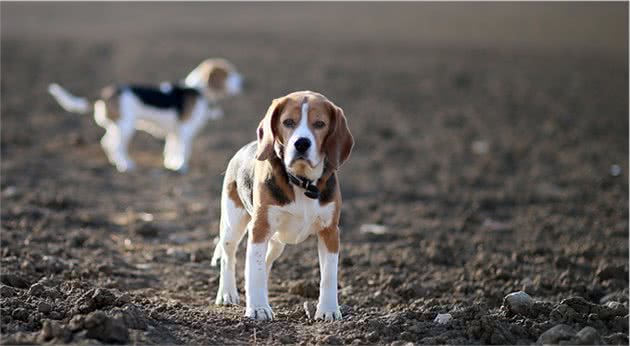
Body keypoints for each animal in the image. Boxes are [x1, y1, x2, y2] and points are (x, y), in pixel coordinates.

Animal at [47, 59, 243, 174]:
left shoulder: (174, 133)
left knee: (106, 143)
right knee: (117, 146)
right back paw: (126, 165)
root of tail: (107, 93)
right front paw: (181, 167)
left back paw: (114, 162)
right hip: (126, 127)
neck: (198, 90)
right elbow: (184, 151)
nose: (245, 82)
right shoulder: (185, 132)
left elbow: (171, 150)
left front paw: (171, 164)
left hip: (117, 126)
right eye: (228, 73)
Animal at [214, 90, 356, 322]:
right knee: (229, 257)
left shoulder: (330, 232)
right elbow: (254, 270)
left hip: (277, 243)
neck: (302, 181)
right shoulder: (259, 228)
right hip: (232, 225)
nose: (302, 143)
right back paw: (227, 294)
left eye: (320, 124)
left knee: (264, 262)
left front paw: (328, 310)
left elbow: (329, 275)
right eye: (288, 122)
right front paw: (258, 308)